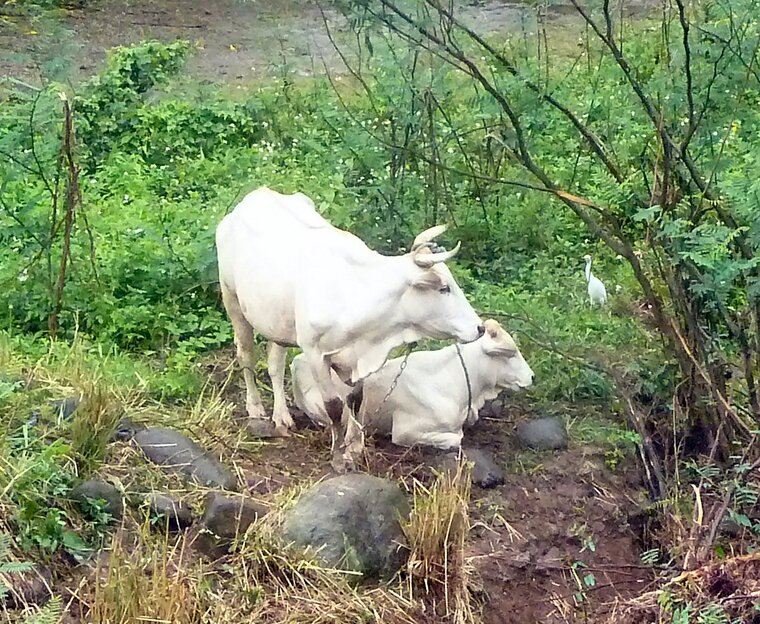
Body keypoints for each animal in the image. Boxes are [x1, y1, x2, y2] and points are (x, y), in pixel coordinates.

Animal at [215, 187, 484, 471]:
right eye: (444, 288)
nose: (479, 327)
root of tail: (256, 195)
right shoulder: (314, 352)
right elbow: (333, 406)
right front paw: (337, 455)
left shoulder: (358, 358)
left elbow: (355, 400)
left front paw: (354, 448)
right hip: (232, 299)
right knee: (246, 354)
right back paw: (255, 409)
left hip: (278, 321)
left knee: (275, 363)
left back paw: (282, 415)